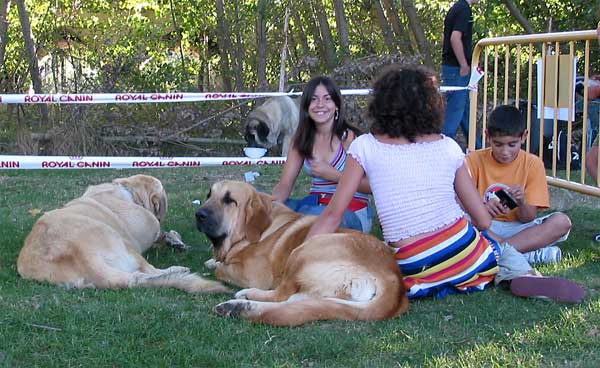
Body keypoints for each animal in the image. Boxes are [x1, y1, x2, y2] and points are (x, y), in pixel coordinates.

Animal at [17, 175, 227, 294]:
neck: (129, 190)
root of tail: (85, 258)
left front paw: (173, 240)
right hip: (125, 244)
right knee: (151, 271)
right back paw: (176, 269)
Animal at [196, 180, 408, 326]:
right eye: (208, 195)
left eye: (229, 200)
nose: (199, 215)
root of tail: (393, 280)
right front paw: (212, 261)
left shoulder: (254, 275)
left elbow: (222, 269)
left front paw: (217, 264)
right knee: (295, 303)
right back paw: (238, 307)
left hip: (305, 250)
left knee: (281, 295)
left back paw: (245, 298)